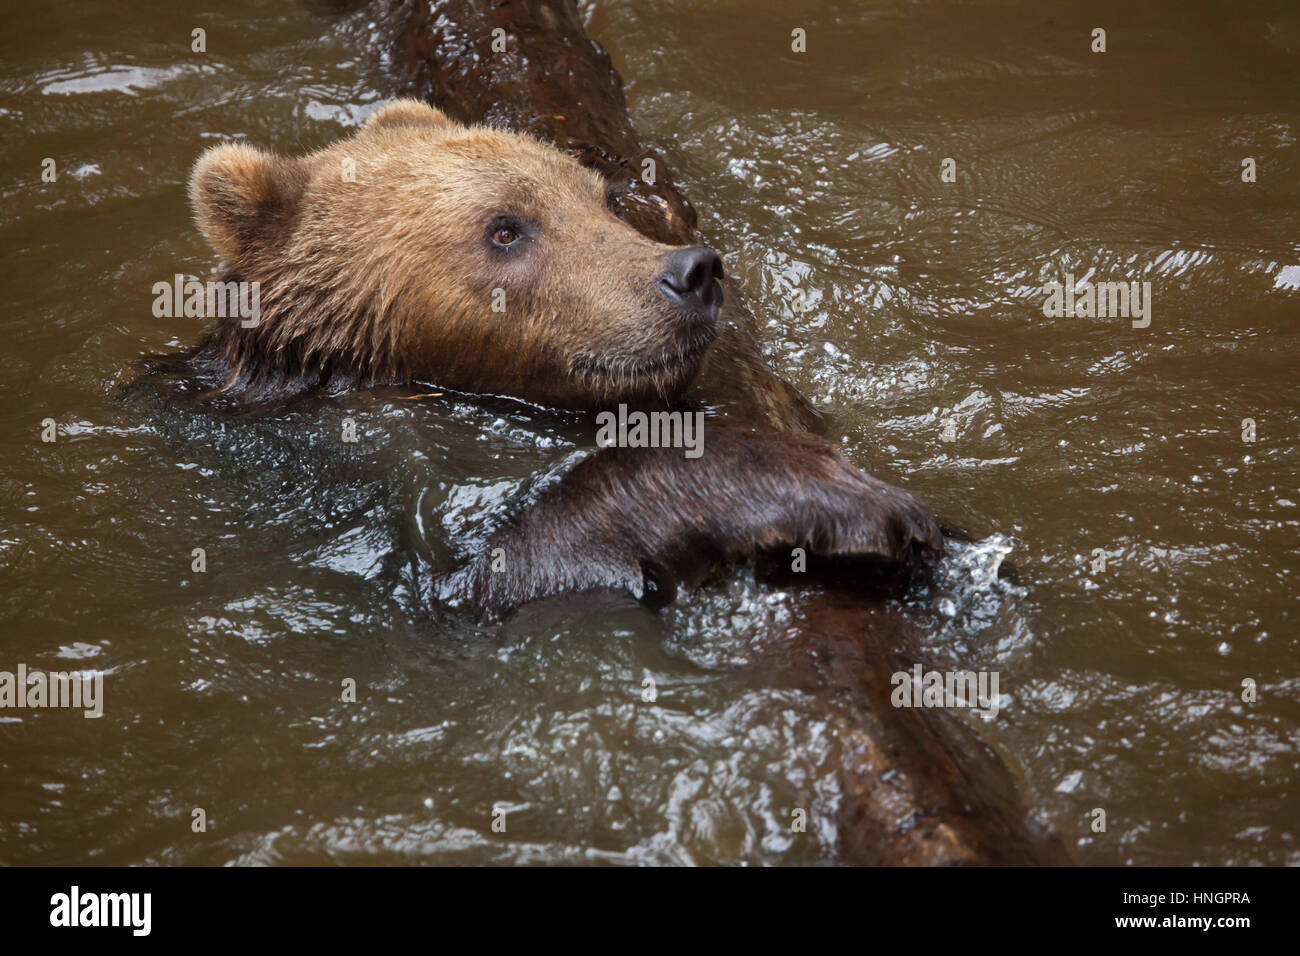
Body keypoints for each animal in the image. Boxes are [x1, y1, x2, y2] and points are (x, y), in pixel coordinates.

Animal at [152, 100, 946, 616]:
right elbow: (487, 568)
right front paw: (849, 496)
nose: (692, 273)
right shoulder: (342, 489)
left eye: (602, 198)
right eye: (505, 228)